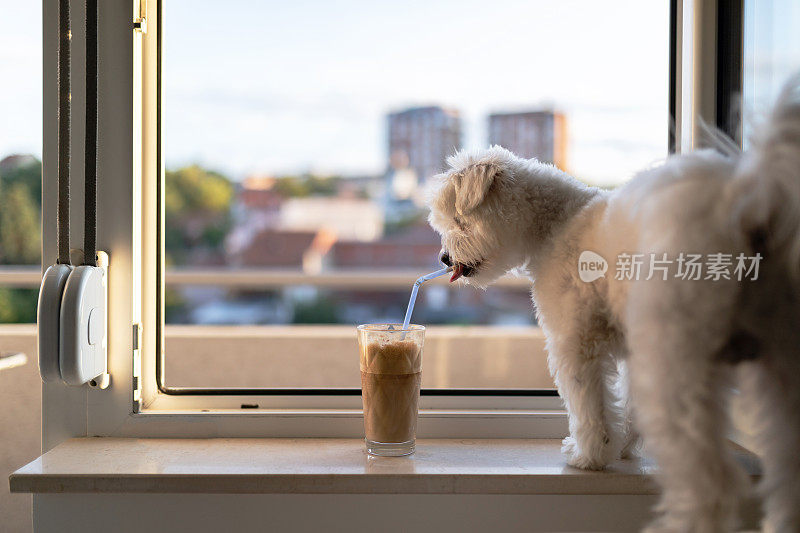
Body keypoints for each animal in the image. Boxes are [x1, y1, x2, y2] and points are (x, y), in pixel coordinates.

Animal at [428, 80, 800, 532]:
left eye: (458, 222)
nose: (444, 257)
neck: (556, 224)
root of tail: (752, 206)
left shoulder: (575, 340)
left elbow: (589, 403)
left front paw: (590, 455)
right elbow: (627, 401)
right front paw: (624, 446)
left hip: (678, 360)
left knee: (711, 482)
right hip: (783, 367)